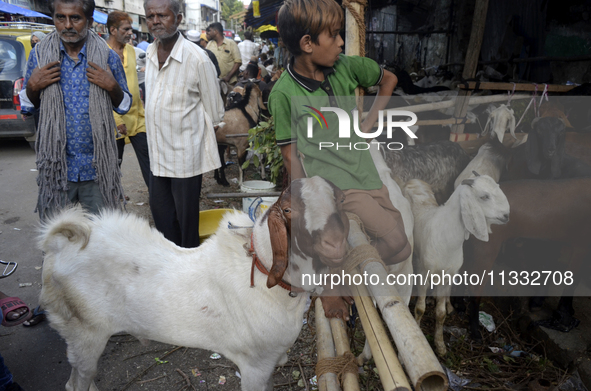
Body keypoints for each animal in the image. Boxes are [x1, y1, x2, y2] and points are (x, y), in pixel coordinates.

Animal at [40, 178, 352, 391]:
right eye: (288, 210)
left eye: (340, 200)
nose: (335, 244)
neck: (264, 272)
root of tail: (62, 245)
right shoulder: (255, 365)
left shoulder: (272, 361)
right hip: (84, 333)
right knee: (75, 382)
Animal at [404, 173, 512, 356]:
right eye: (484, 196)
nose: (506, 216)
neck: (445, 236)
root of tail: (414, 179)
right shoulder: (425, 272)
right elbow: (420, 309)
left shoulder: (448, 274)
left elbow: (440, 314)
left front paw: (440, 345)